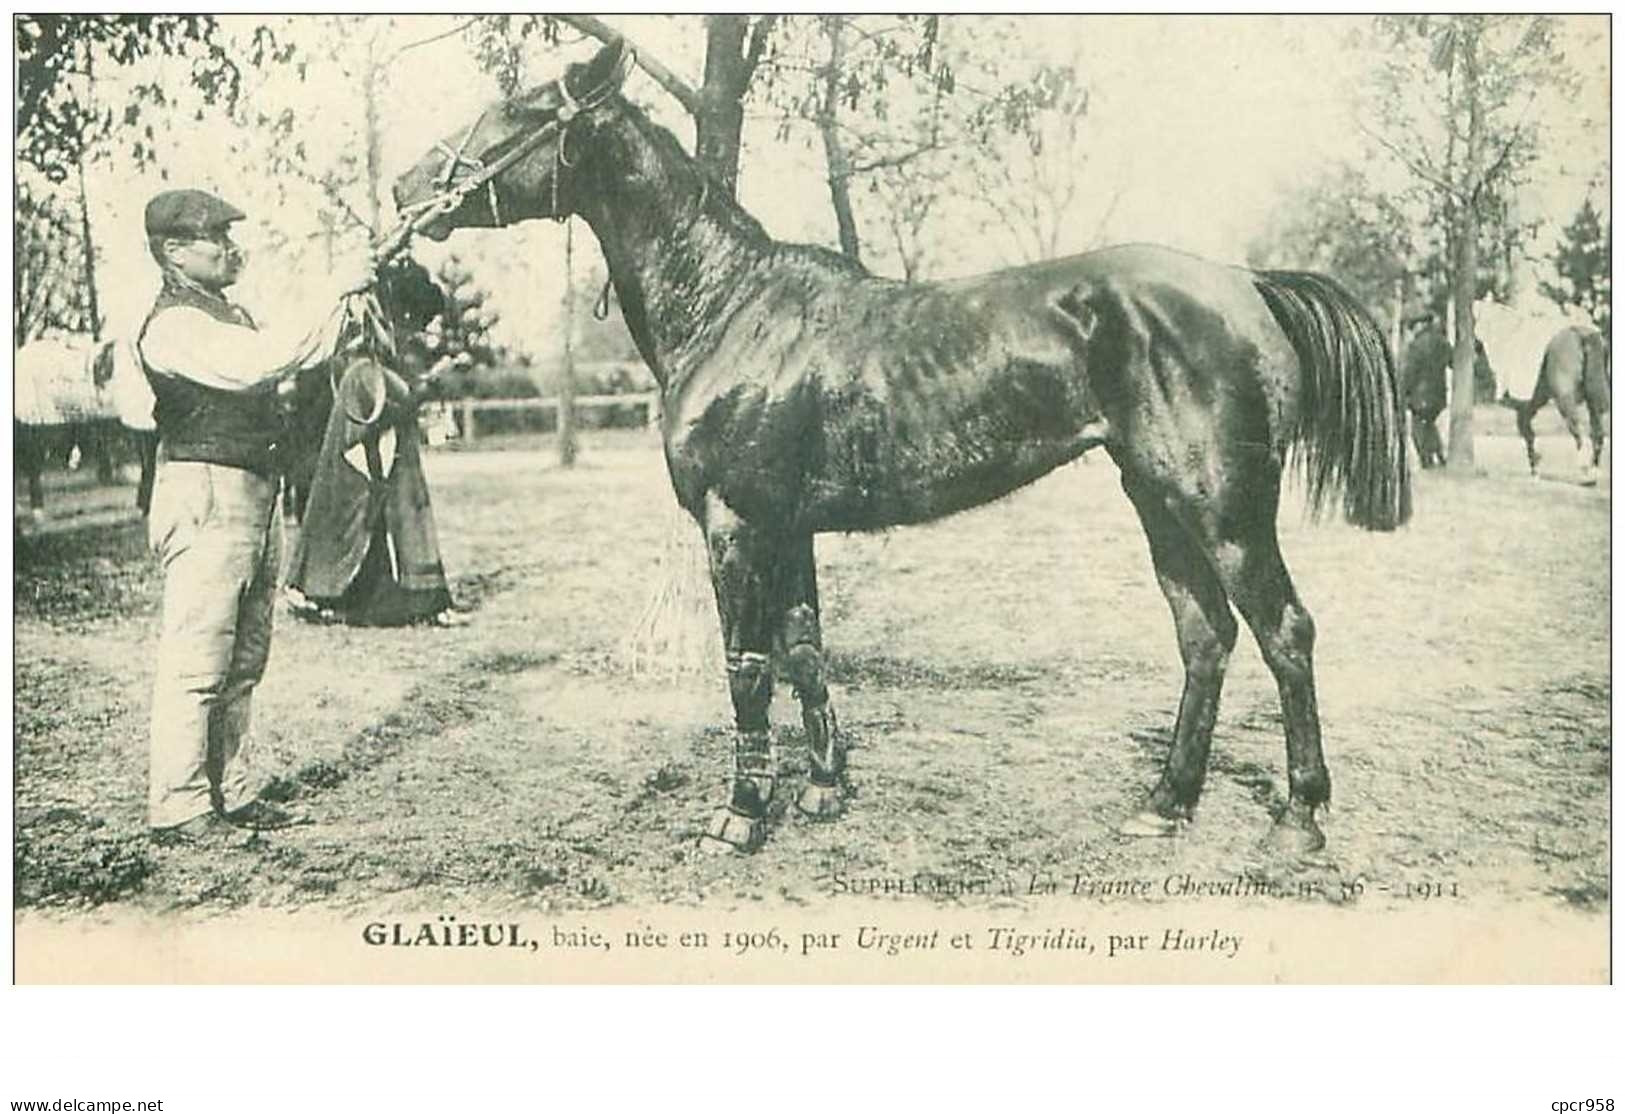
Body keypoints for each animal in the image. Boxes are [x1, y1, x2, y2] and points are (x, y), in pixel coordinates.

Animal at [1482, 298, 1605, 487]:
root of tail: (1580, 334)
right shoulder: (1526, 409)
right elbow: (1529, 435)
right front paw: (1536, 469)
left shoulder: (1523, 408)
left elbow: (1528, 435)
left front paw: (1535, 470)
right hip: (1594, 401)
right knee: (1597, 433)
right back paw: (1593, 473)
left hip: (1565, 401)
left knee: (1579, 432)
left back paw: (1586, 475)